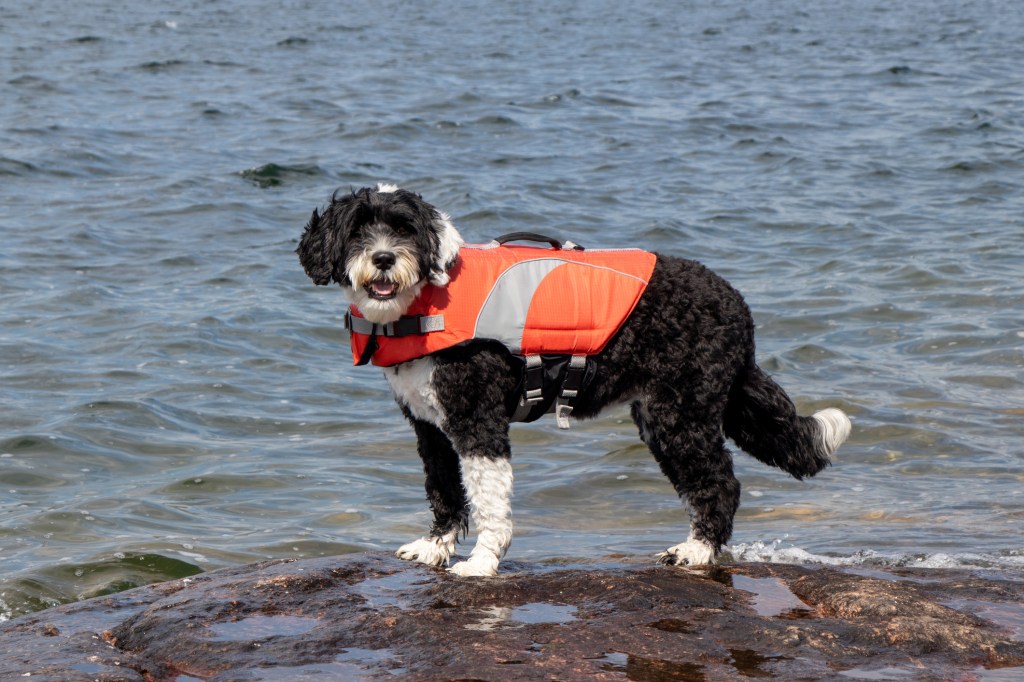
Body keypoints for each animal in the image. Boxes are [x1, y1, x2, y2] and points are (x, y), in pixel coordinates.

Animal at [299, 184, 856, 573]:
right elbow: (443, 488)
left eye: (406, 230)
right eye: (357, 231)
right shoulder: (430, 427)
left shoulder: (478, 422)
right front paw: (434, 547)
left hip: (679, 413)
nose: (383, 258)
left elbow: (488, 499)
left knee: (719, 482)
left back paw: (697, 550)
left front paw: (481, 562)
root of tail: (737, 306)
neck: (426, 301)